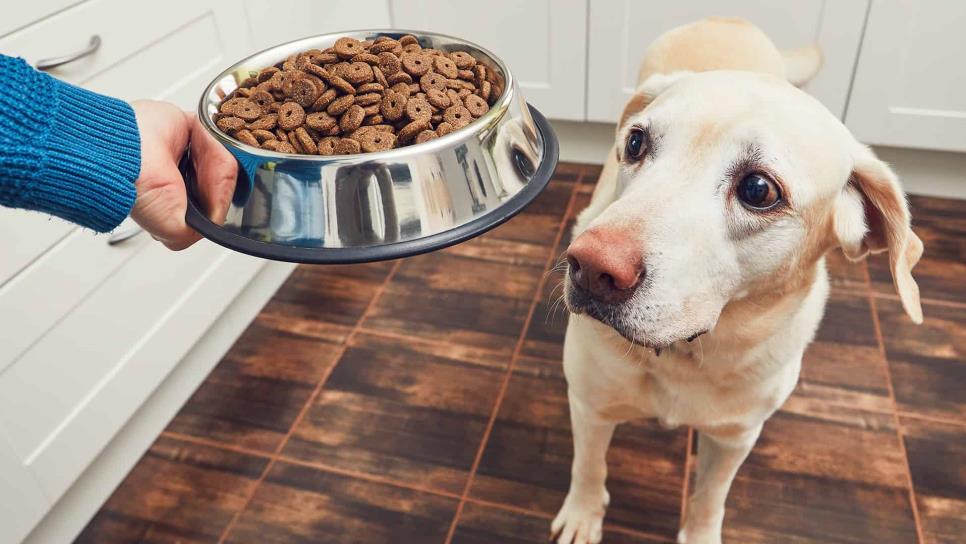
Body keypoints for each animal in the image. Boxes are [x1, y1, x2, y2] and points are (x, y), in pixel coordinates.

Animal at [552, 17, 924, 544]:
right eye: (636, 143)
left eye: (758, 189)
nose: (588, 267)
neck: (688, 355)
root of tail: (727, 19)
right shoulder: (589, 403)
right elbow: (588, 468)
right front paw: (583, 515)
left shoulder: (735, 437)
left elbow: (710, 496)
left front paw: (700, 532)